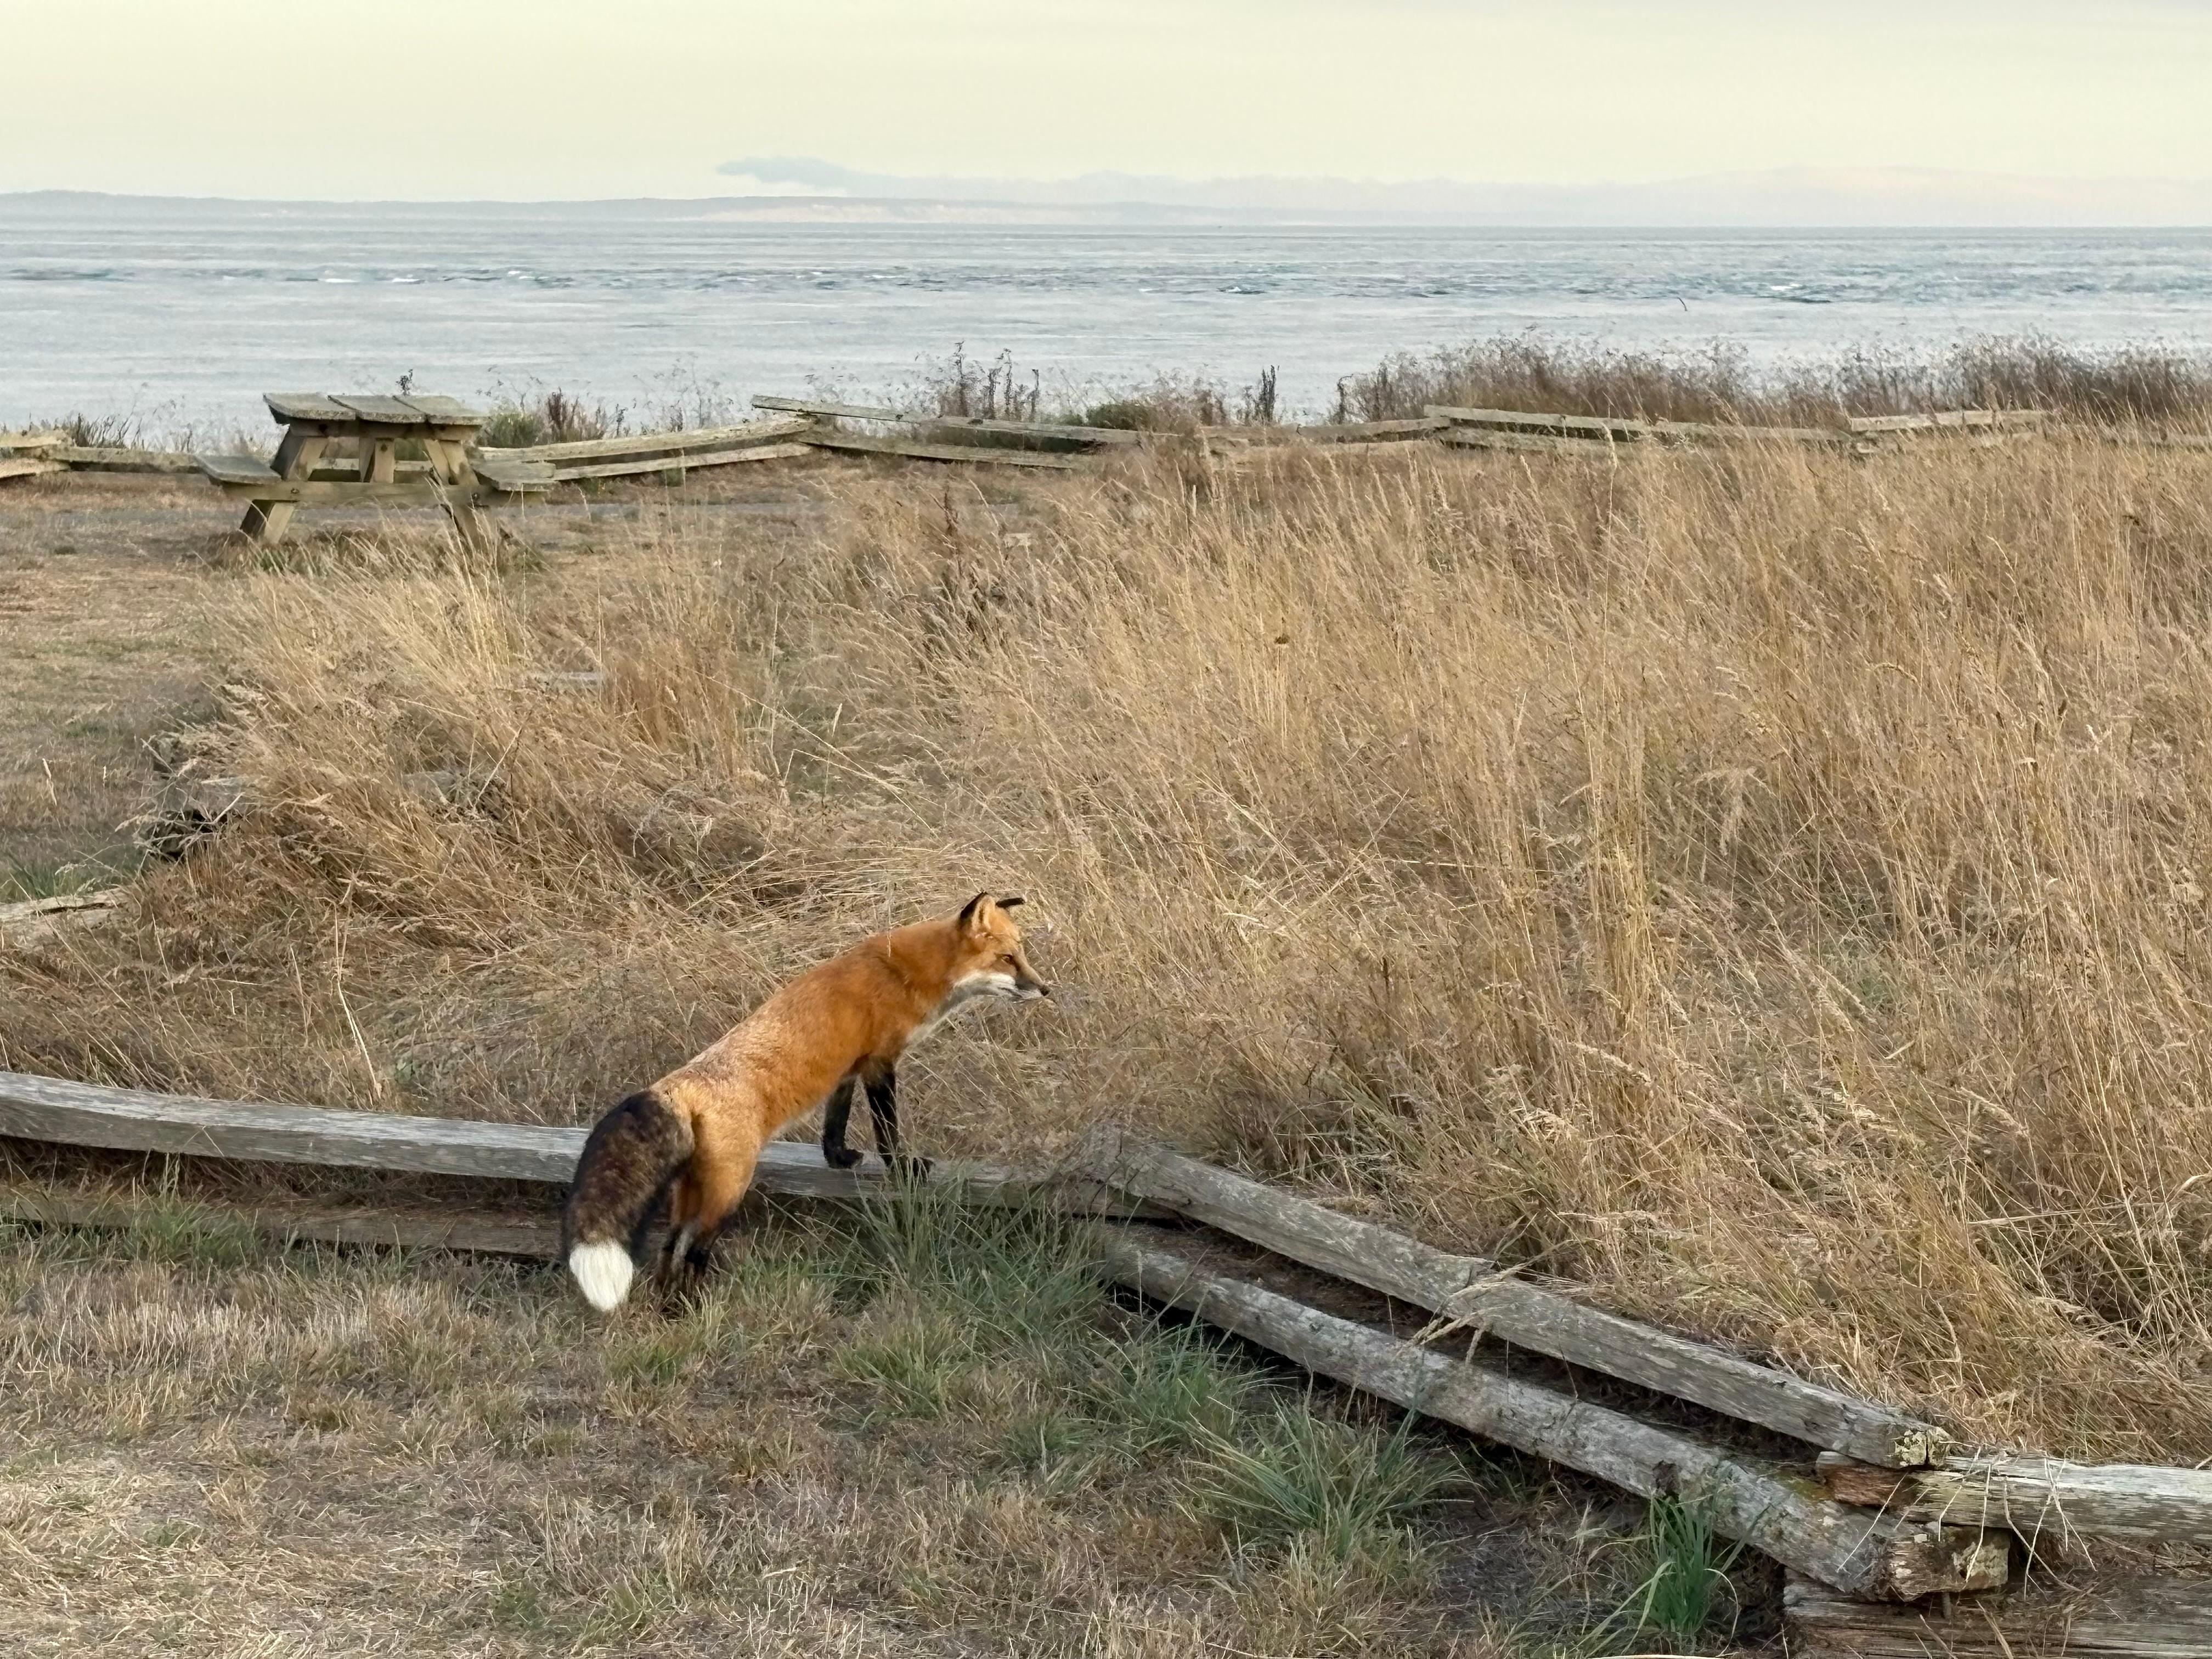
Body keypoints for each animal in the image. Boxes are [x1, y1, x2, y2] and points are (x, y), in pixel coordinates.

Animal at [561, 892, 1050, 1311]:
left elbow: (834, 1123)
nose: (1044, 989)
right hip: (729, 1190)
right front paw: (902, 1169)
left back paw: (669, 1306)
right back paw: (692, 1307)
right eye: (1007, 960)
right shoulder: (880, 1063)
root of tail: (676, 1086)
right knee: (696, 1251)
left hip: (692, 1191)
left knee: (670, 1245)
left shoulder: (849, 1069)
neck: (903, 973)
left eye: (1024, 954)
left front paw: (839, 1159)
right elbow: (887, 1130)